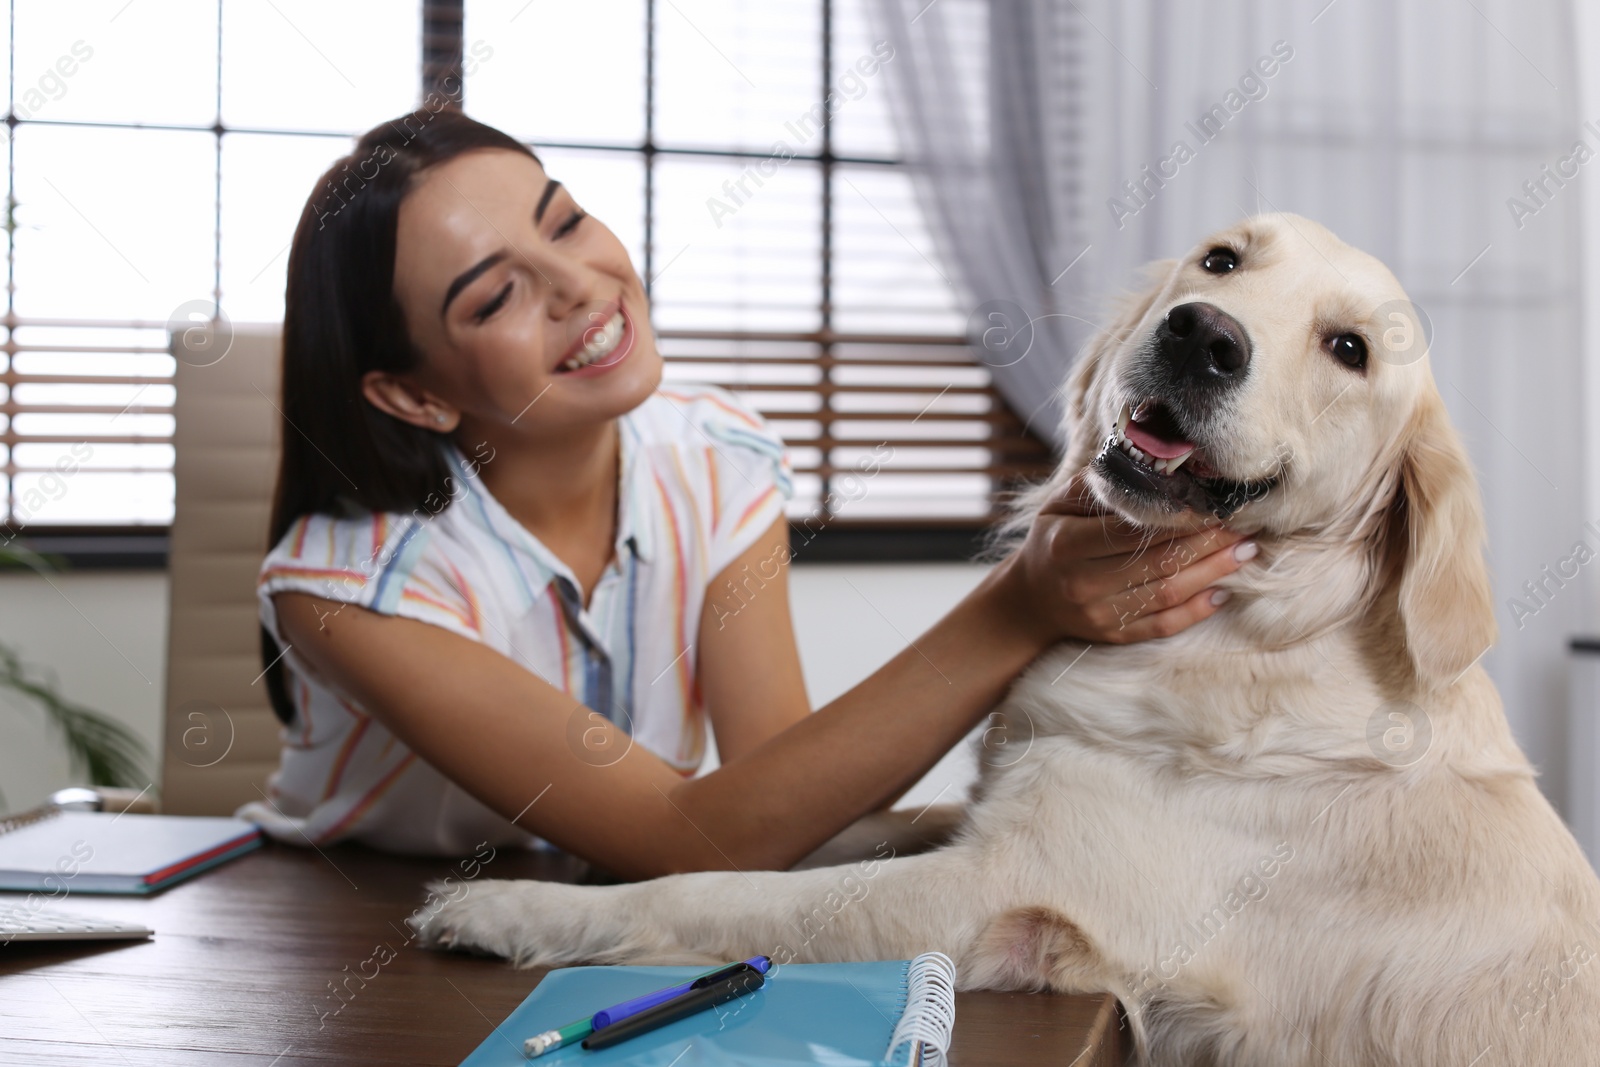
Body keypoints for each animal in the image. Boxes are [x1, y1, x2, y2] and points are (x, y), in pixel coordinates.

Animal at [412, 212, 1600, 1062]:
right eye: (1221, 259)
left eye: (1349, 347)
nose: (1203, 334)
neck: (1248, 630)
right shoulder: (996, 802)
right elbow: (827, 827)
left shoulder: (996, 892)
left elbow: (710, 890)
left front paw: (509, 903)